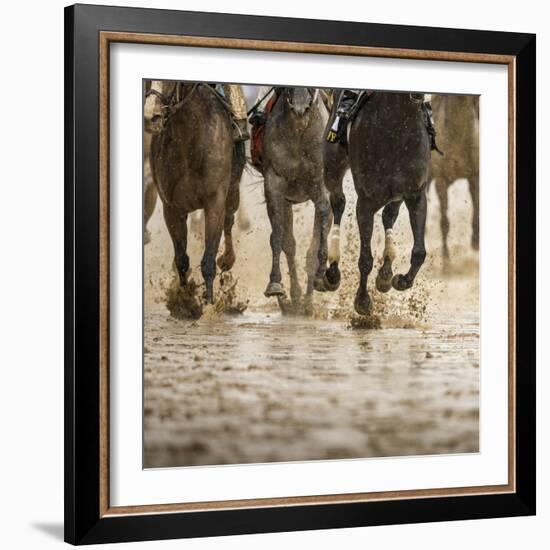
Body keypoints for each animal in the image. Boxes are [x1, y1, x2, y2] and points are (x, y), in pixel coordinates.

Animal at [144, 82, 246, 304]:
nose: (150, 116)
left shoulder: (215, 202)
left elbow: (208, 259)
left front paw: (209, 303)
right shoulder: (171, 208)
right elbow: (181, 259)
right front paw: (183, 298)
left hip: (233, 192)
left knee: (229, 221)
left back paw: (227, 259)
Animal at [264, 87, 332, 314]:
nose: (300, 108)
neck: (299, 131)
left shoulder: (320, 181)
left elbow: (322, 217)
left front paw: (321, 272)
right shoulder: (274, 182)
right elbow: (278, 236)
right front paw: (275, 283)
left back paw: (308, 302)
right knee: (289, 243)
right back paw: (293, 300)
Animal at [326, 90, 434, 314]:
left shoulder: (415, 195)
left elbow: (419, 252)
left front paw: (401, 280)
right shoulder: (365, 203)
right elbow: (365, 259)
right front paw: (362, 300)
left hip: (397, 196)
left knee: (388, 215)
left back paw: (385, 272)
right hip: (332, 167)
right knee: (338, 202)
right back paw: (332, 270)